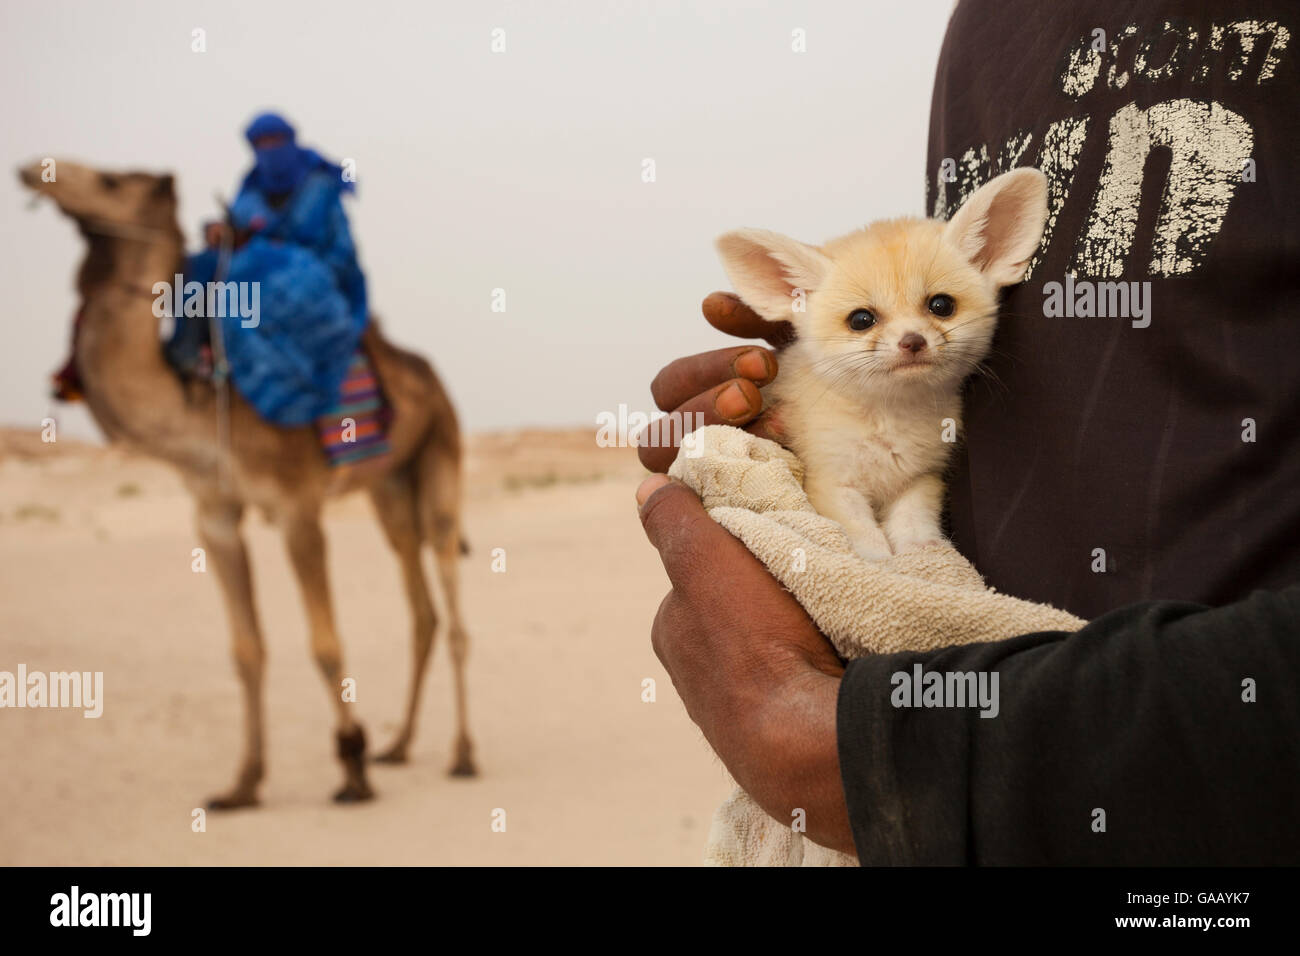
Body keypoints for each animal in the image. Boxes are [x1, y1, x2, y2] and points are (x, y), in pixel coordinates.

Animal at [19, 162, 478, 806]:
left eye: (109, 181)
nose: (34, 170)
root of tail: (430, 377)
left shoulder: (297, 508)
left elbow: (325, 644)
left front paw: (351, 767)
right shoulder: (213, 513)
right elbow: (246, 649)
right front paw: (243, 782)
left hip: (440, 450)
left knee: (450, 592)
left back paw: (462, 754)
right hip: (388, 486)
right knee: (420, 606)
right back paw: (398, 745)